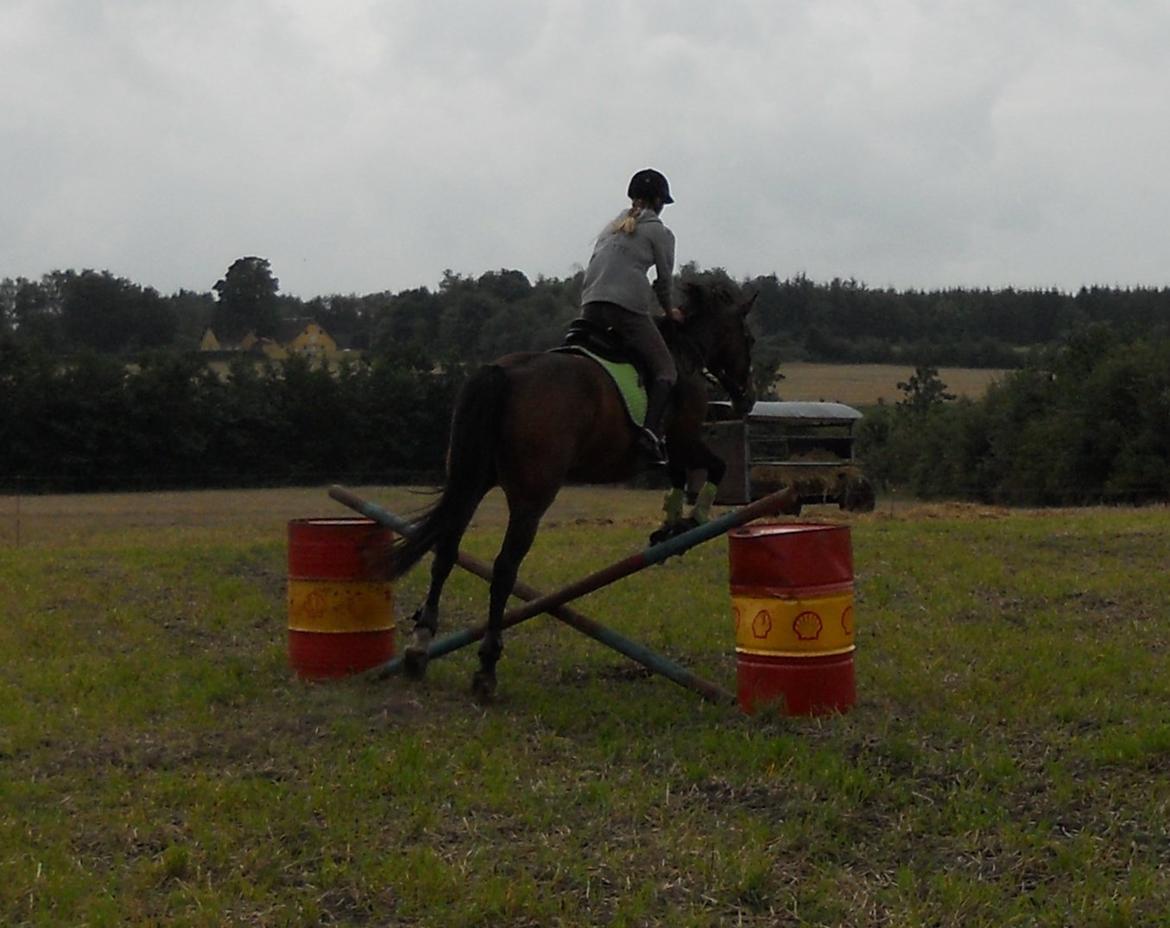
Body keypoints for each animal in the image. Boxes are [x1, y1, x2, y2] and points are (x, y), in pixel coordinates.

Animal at [393, 278, 758, 697]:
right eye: (749, 339)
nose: (747, 398)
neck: (687, 351)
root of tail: (502, 372)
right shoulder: (683, 438)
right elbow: (716, 467)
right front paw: (690, 521)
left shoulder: (675, 450)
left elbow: (679, 479)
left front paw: (669, 530)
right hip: (532, 497)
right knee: (504, 568)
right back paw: (487, 666)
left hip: (472, 480)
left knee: (446, 551)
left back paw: (419, 645)